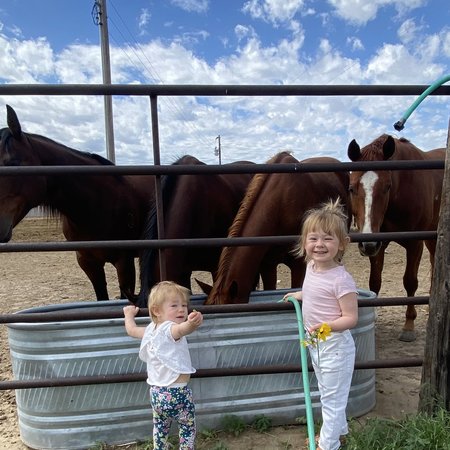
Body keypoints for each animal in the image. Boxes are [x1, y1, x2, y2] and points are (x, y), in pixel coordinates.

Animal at [346, 134, 444, 342]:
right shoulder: (378, 243)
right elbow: (374, 282)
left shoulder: (415, 244)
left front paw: (409, 325)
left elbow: (410, 282)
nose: (366, 245)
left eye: (387, 187)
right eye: (351, 188)